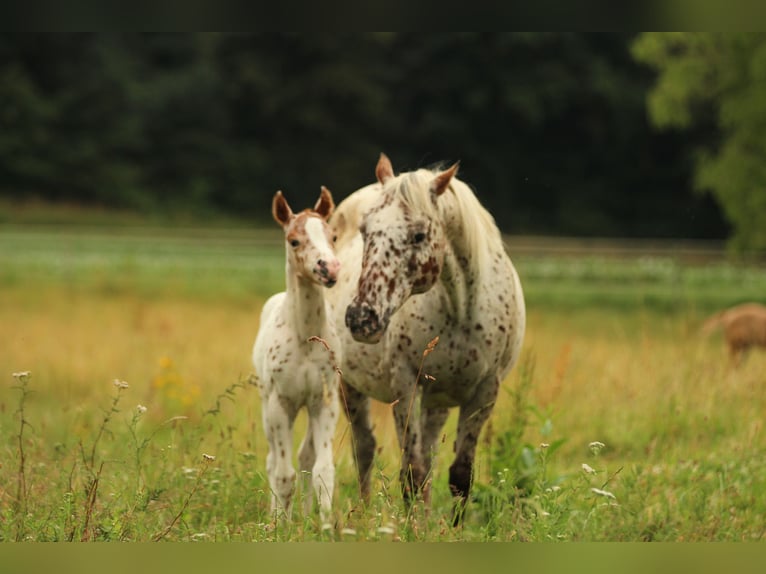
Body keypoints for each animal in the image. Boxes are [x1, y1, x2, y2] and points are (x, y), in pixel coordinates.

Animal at [252, 187, 342, 524]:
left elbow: (322, 470)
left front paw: (326, 525)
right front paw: (280, 525)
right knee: (272, 462)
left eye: (333, 235)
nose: (330, 268)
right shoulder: (282, 404)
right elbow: (282, 474)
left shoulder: (324, 403)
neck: (304, 337)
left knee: (305, 458)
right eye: (294, 240)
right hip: (266, 404)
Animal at [327, 154, 526, 524]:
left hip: (437, 403)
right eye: (365, 230)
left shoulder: (484, 393)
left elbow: (460, 476)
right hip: (350, 385)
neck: (461, 310)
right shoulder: (407, 386)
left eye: (419, 235)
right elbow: (413, 472)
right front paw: (412, 529)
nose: (362, 318)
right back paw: (363, 516)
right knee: (365, 449)